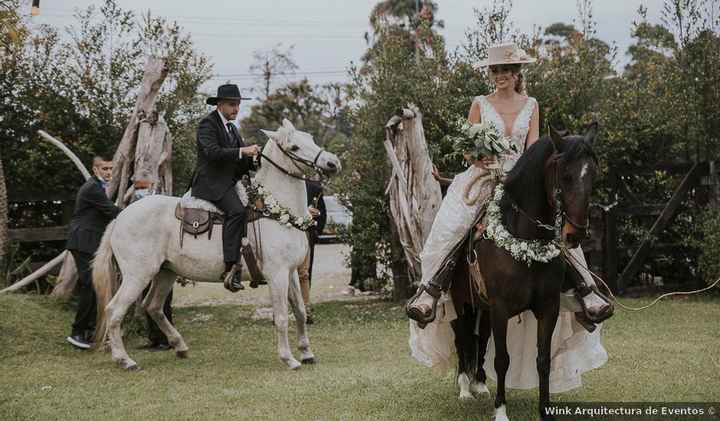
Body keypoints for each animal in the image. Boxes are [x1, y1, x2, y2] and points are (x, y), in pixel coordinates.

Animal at [94, 118, 342, 368]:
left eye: (310, 138)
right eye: (294, 147)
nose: (333, 163)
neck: (274, 210)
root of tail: (120, 217)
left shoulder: (290, 273)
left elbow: (300, 311)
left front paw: (307, 352)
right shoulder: (277, 274)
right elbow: (282, 317)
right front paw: (288, 358)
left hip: (165, 272)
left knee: (152, 306)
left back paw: (180, 346)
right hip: (138, 275)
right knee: (114, 310)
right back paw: (124, 359)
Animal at [450, 124, 600, 420]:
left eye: (592, 176)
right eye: (565, 176)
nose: (575, 233)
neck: (525, 239)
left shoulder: (548, 307)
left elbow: (543, 360)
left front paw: (545, 411)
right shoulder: (500, 308)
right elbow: (502, 360)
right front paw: (500, 411)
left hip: (482, 306)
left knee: (480, 337)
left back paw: (479, 384)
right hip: (461, 300)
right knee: (462, 337)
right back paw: (464, 389)